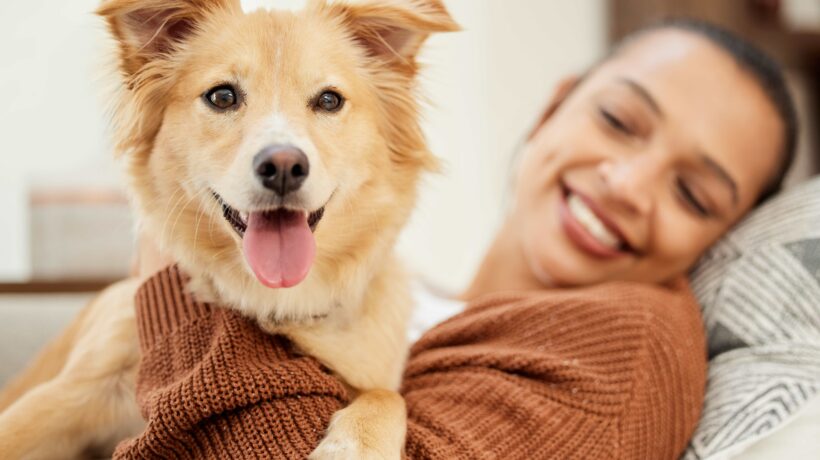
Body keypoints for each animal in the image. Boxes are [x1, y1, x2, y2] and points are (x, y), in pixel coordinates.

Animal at [0, 0, 458, 456]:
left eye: (329, 100)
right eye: (222, 96)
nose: (284, 167)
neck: (276, 297)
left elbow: (388, 397)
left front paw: (356, 445)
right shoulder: (71, 390)